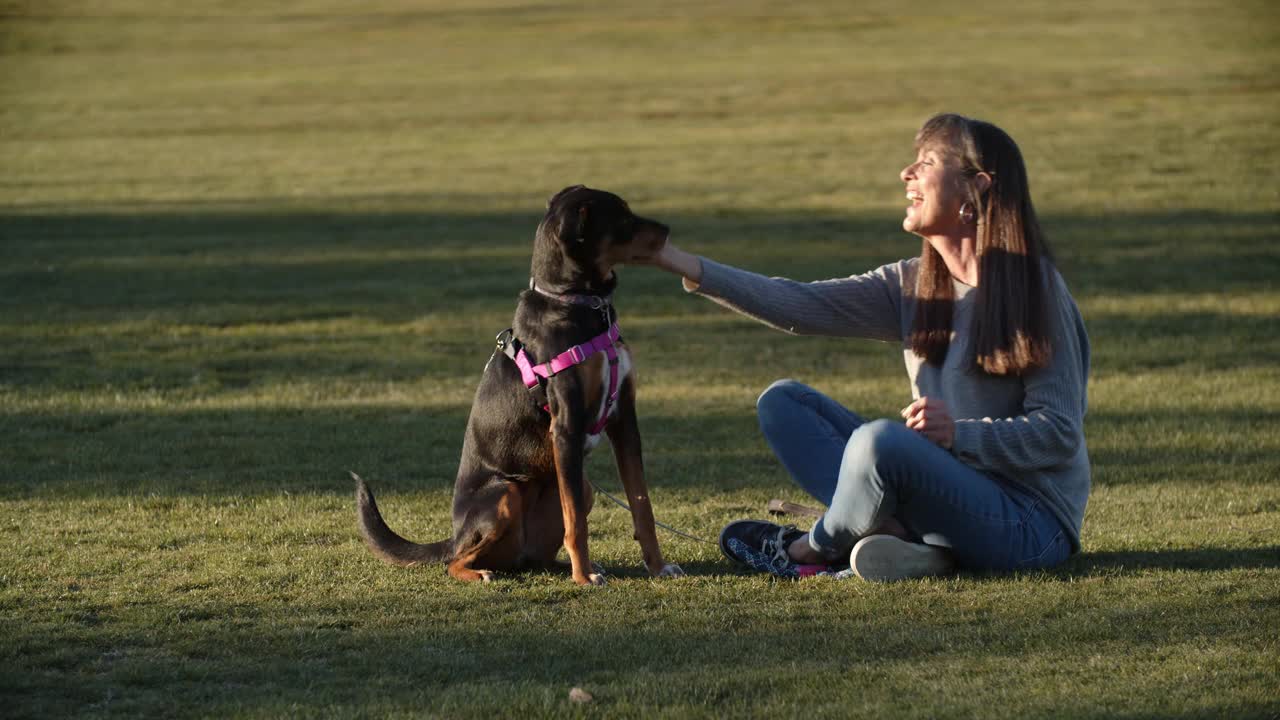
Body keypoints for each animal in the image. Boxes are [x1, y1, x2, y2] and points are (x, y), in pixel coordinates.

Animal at [355, 184, 686, 584]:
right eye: (621, 217)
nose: (668, 230)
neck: (576, 303)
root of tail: (455, 535)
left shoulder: (624, 420)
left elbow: (642, 506)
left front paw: (657, 566)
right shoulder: (567, 426)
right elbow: (577, 524)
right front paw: (583, 578)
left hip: (579, 487)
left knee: (538, 554)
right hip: (506, 492)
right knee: (456, 561)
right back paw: (484, 572)